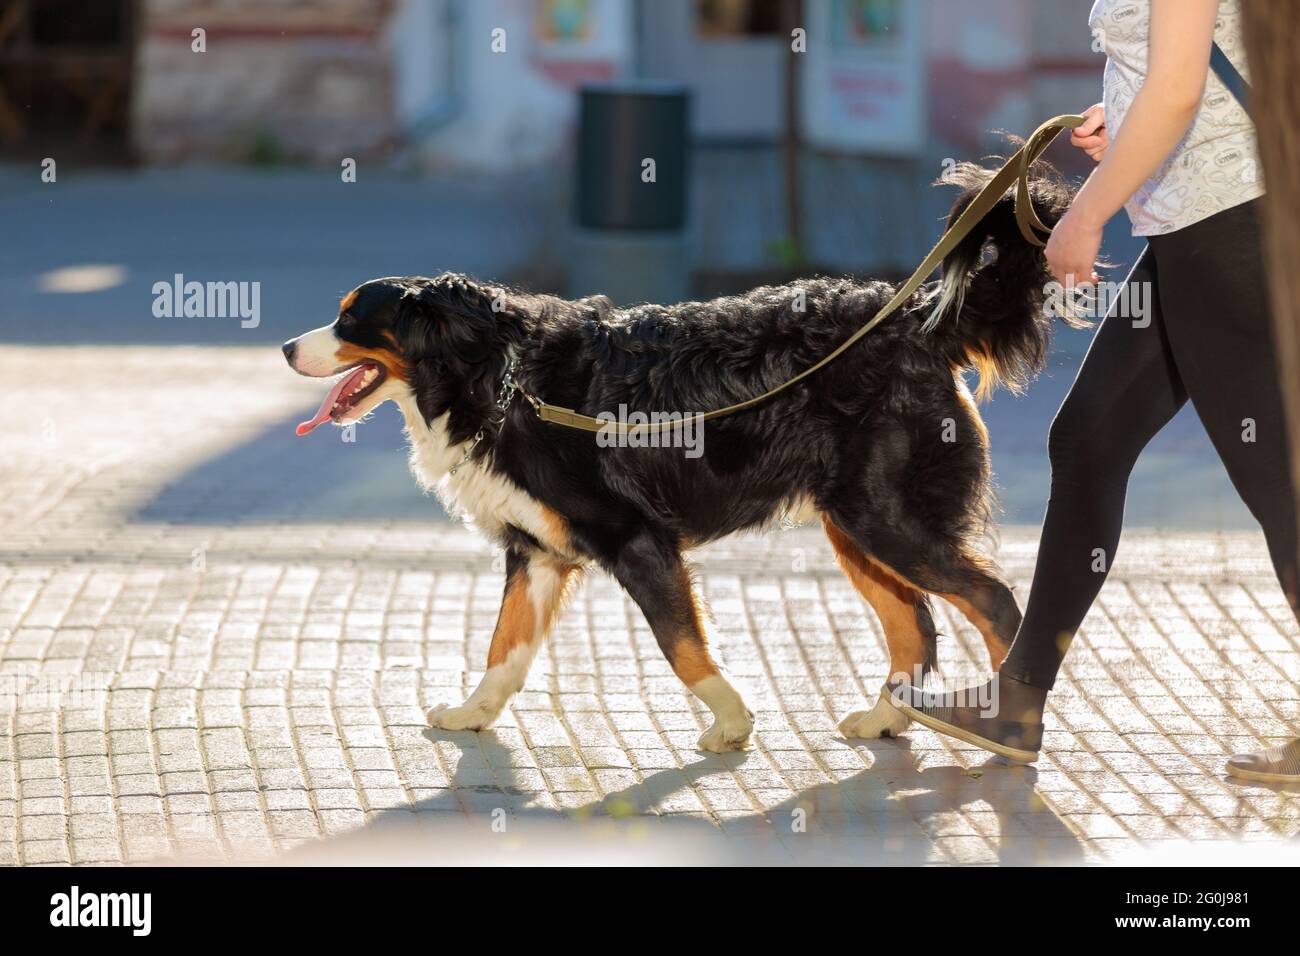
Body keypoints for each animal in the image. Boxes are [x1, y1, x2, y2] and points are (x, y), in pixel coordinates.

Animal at [282, 160, 1076, 749]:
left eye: (351, 319)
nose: (287, 346)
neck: (500, 380)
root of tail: (914, 320)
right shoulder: (536, 551)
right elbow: (504, 650)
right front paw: (474, 714)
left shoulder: (638, 538)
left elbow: (682, 647)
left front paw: (731, 721)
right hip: (855, 528)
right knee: (913, 625)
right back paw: (887, 718)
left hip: (890, 521)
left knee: (995, 604)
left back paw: (1009, 725)